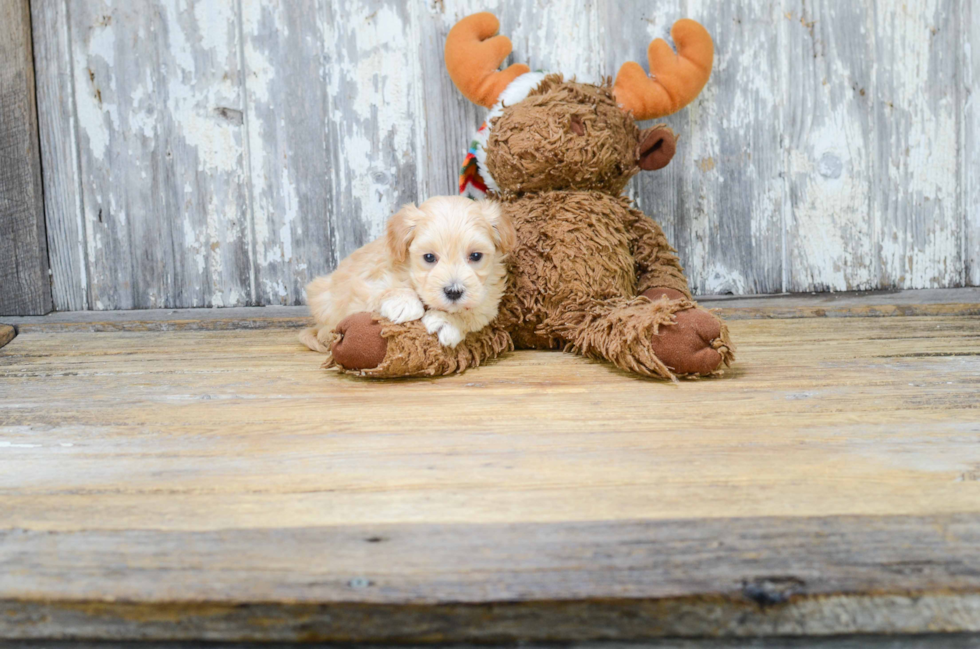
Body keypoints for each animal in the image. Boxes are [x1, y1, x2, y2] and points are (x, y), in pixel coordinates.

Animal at [296, 196, 512, 354]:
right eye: (429, 257)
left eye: (475, 256)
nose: (453, 291)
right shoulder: (362, 286)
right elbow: (383, 290)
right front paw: (404, 302)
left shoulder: (488, 299)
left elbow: (473, 313)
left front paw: (447, 321)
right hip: (322, 295)